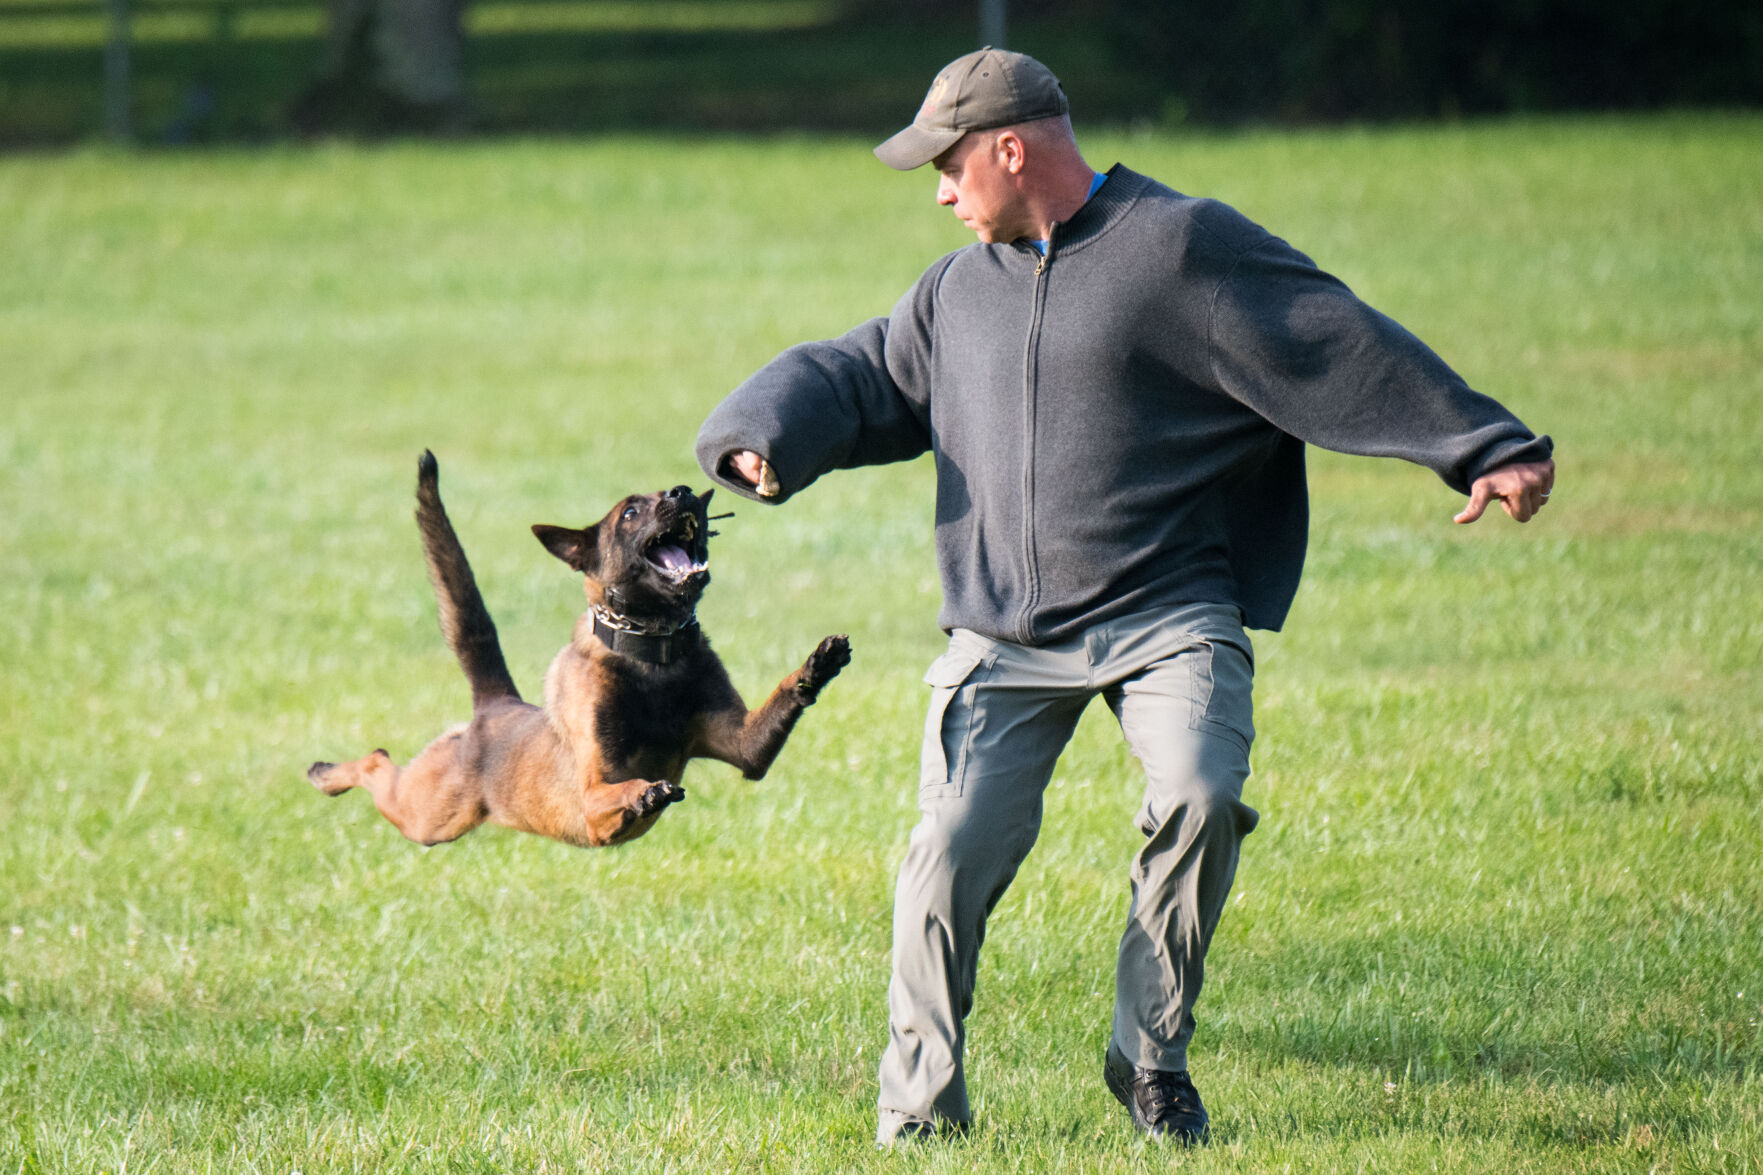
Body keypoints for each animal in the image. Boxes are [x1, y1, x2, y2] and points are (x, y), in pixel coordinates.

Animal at [310, 451, 853, 846]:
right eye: (630, 512)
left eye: (672, 494)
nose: (681, 492)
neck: (652, 653)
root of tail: (496, 707)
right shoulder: (592, 797)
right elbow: (623, 790)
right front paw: (645, 793)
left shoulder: (744, 748)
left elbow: (782, 700)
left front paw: (819, 665)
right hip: (427, 815)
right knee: (377, 763)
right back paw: (326, 774)